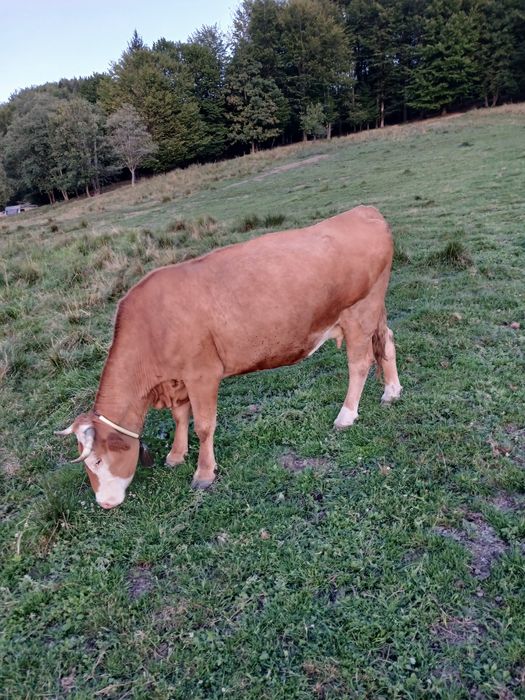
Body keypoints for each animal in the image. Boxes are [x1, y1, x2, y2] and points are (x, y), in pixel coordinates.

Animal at [56, 206, 402, 509]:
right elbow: (180, 417)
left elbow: (204, 425)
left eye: (98, 460)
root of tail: (364, 211)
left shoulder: (202, 373)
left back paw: (346, 415)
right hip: (375, 309)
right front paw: (176, 455)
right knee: (386, 341)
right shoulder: (178, 379)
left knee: (360, 363)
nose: (105, 503)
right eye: (87, 467)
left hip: (359, 312)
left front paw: (204, 473)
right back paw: (391, 392)